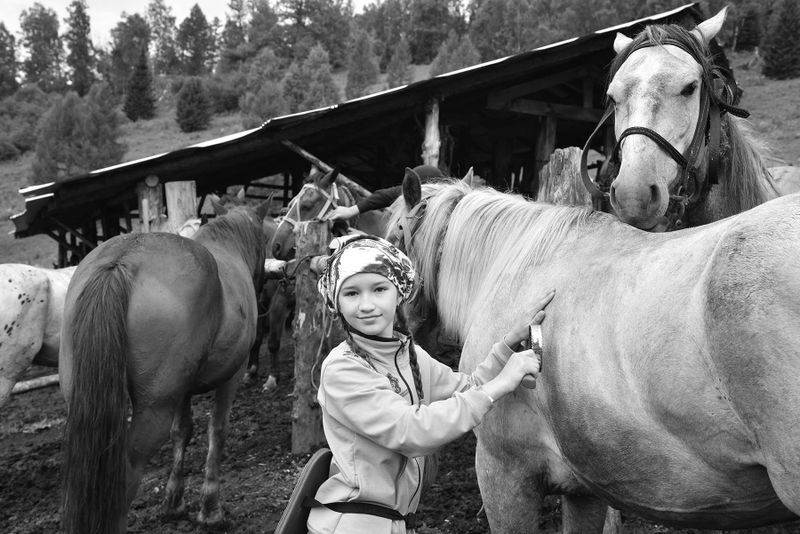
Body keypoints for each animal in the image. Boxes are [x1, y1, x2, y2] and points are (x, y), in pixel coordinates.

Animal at [59, 203, 270, 532]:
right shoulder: (232, 376)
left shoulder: (181, 391)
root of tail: (123, 261)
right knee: (125, 473)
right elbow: (217, 431)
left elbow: (182, 431)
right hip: (153, 409)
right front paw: (210, 510)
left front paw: (174, 502)